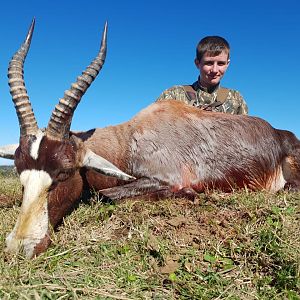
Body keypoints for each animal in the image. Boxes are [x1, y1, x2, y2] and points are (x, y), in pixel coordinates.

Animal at [1, 19, 300, 258]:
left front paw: (191, 194)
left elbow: (107, 197)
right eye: (20, 171)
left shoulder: (166, 179)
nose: (20, 246)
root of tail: (280, 134)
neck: (130, 138)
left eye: (63, 173)